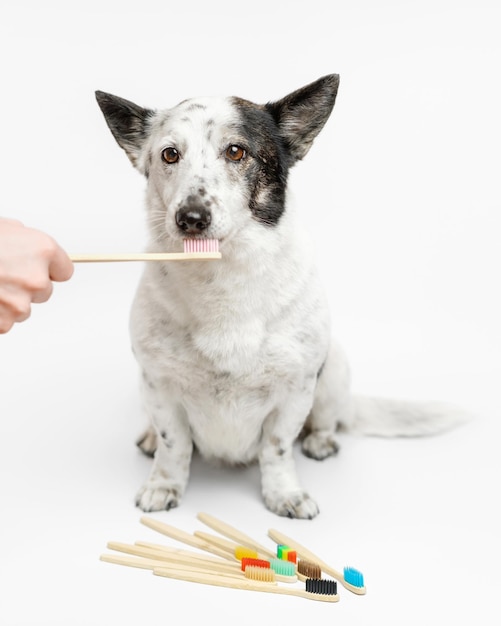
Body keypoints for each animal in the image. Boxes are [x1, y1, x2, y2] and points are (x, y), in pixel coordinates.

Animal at [95, 74, 466, 516]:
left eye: (236, 151)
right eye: (170, 155)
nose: (190, 218)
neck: (220, 276)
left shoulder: (295, 391)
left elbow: (277, 448)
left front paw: (283, 493)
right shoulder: (159, 386)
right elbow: (175, 446)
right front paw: (163, 484)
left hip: (334, 367)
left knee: (326, 419)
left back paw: (321, 440)